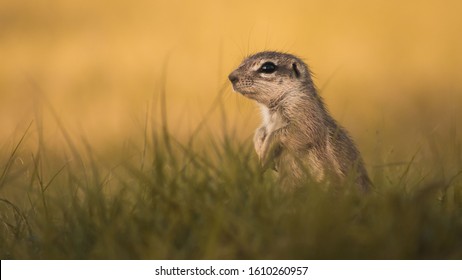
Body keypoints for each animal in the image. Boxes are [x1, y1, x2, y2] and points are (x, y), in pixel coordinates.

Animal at [228, 50, 372, 192]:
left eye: (268, 67)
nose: (231, 77)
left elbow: (292, 133)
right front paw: (259, 145)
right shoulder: (268, 123)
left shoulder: (306, 116)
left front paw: (265, 152)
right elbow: (260, 130)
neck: (272, 112)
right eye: (242, 62)